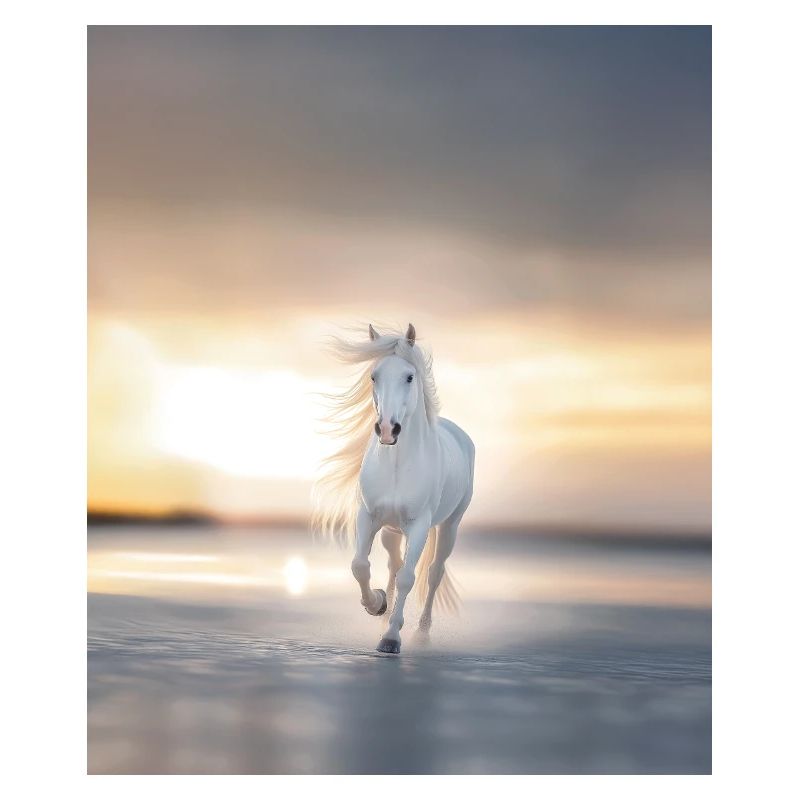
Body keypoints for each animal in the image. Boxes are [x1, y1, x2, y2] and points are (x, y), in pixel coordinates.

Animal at [313, 323, 475, 654]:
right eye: (374, 376)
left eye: (409, 377)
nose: (388, 429)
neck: (398, 465)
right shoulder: (368, 516)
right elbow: (360, 565)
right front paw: (377, 604)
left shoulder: (419, 526)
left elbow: (408, 579)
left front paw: (391, 637)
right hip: (391, 529)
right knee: (393, 563)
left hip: (449, 526)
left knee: (434, 573)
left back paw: (422, 632)